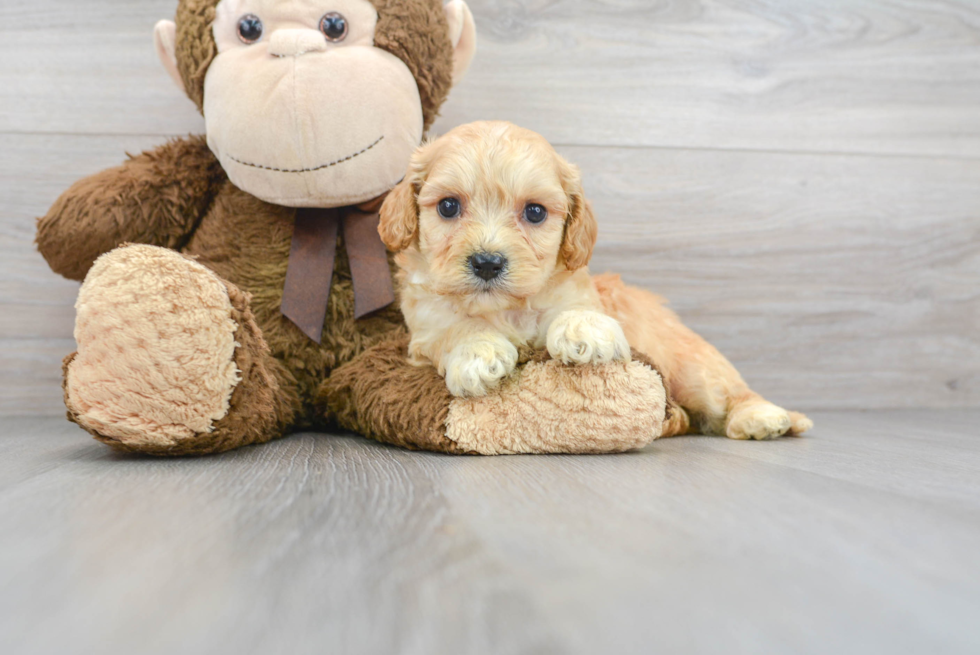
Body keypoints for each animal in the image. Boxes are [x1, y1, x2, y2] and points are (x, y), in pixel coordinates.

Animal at [378, 120, 628, 398]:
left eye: (535, 211)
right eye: (448, 206)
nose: (487, 264)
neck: (504, 309)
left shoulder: (569, 285)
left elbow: (574, 301)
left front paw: (584, 325)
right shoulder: (427, 321)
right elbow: (454, 326)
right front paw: (477, 350)